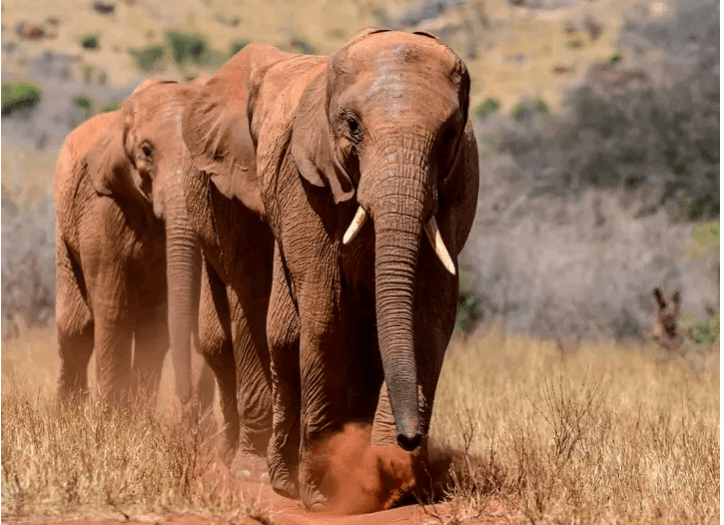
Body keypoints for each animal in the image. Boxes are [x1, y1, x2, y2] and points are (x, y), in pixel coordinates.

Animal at [54, 78, 215, 411]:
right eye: (146, 151)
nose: (184, 396)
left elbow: (155, 324)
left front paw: (135, 416)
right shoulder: (101, 206)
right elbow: (113, 309)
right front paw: (110, 417)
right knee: (75, 327)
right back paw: (67, 414)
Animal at [181, 28, 479, 508]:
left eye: (450, 133)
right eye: (352, 125)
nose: (410, 438)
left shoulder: (458, 184)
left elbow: (431, 313)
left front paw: (387, 477)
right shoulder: (295, 182)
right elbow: (323, 306)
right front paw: (322, 494)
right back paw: (264, 473)